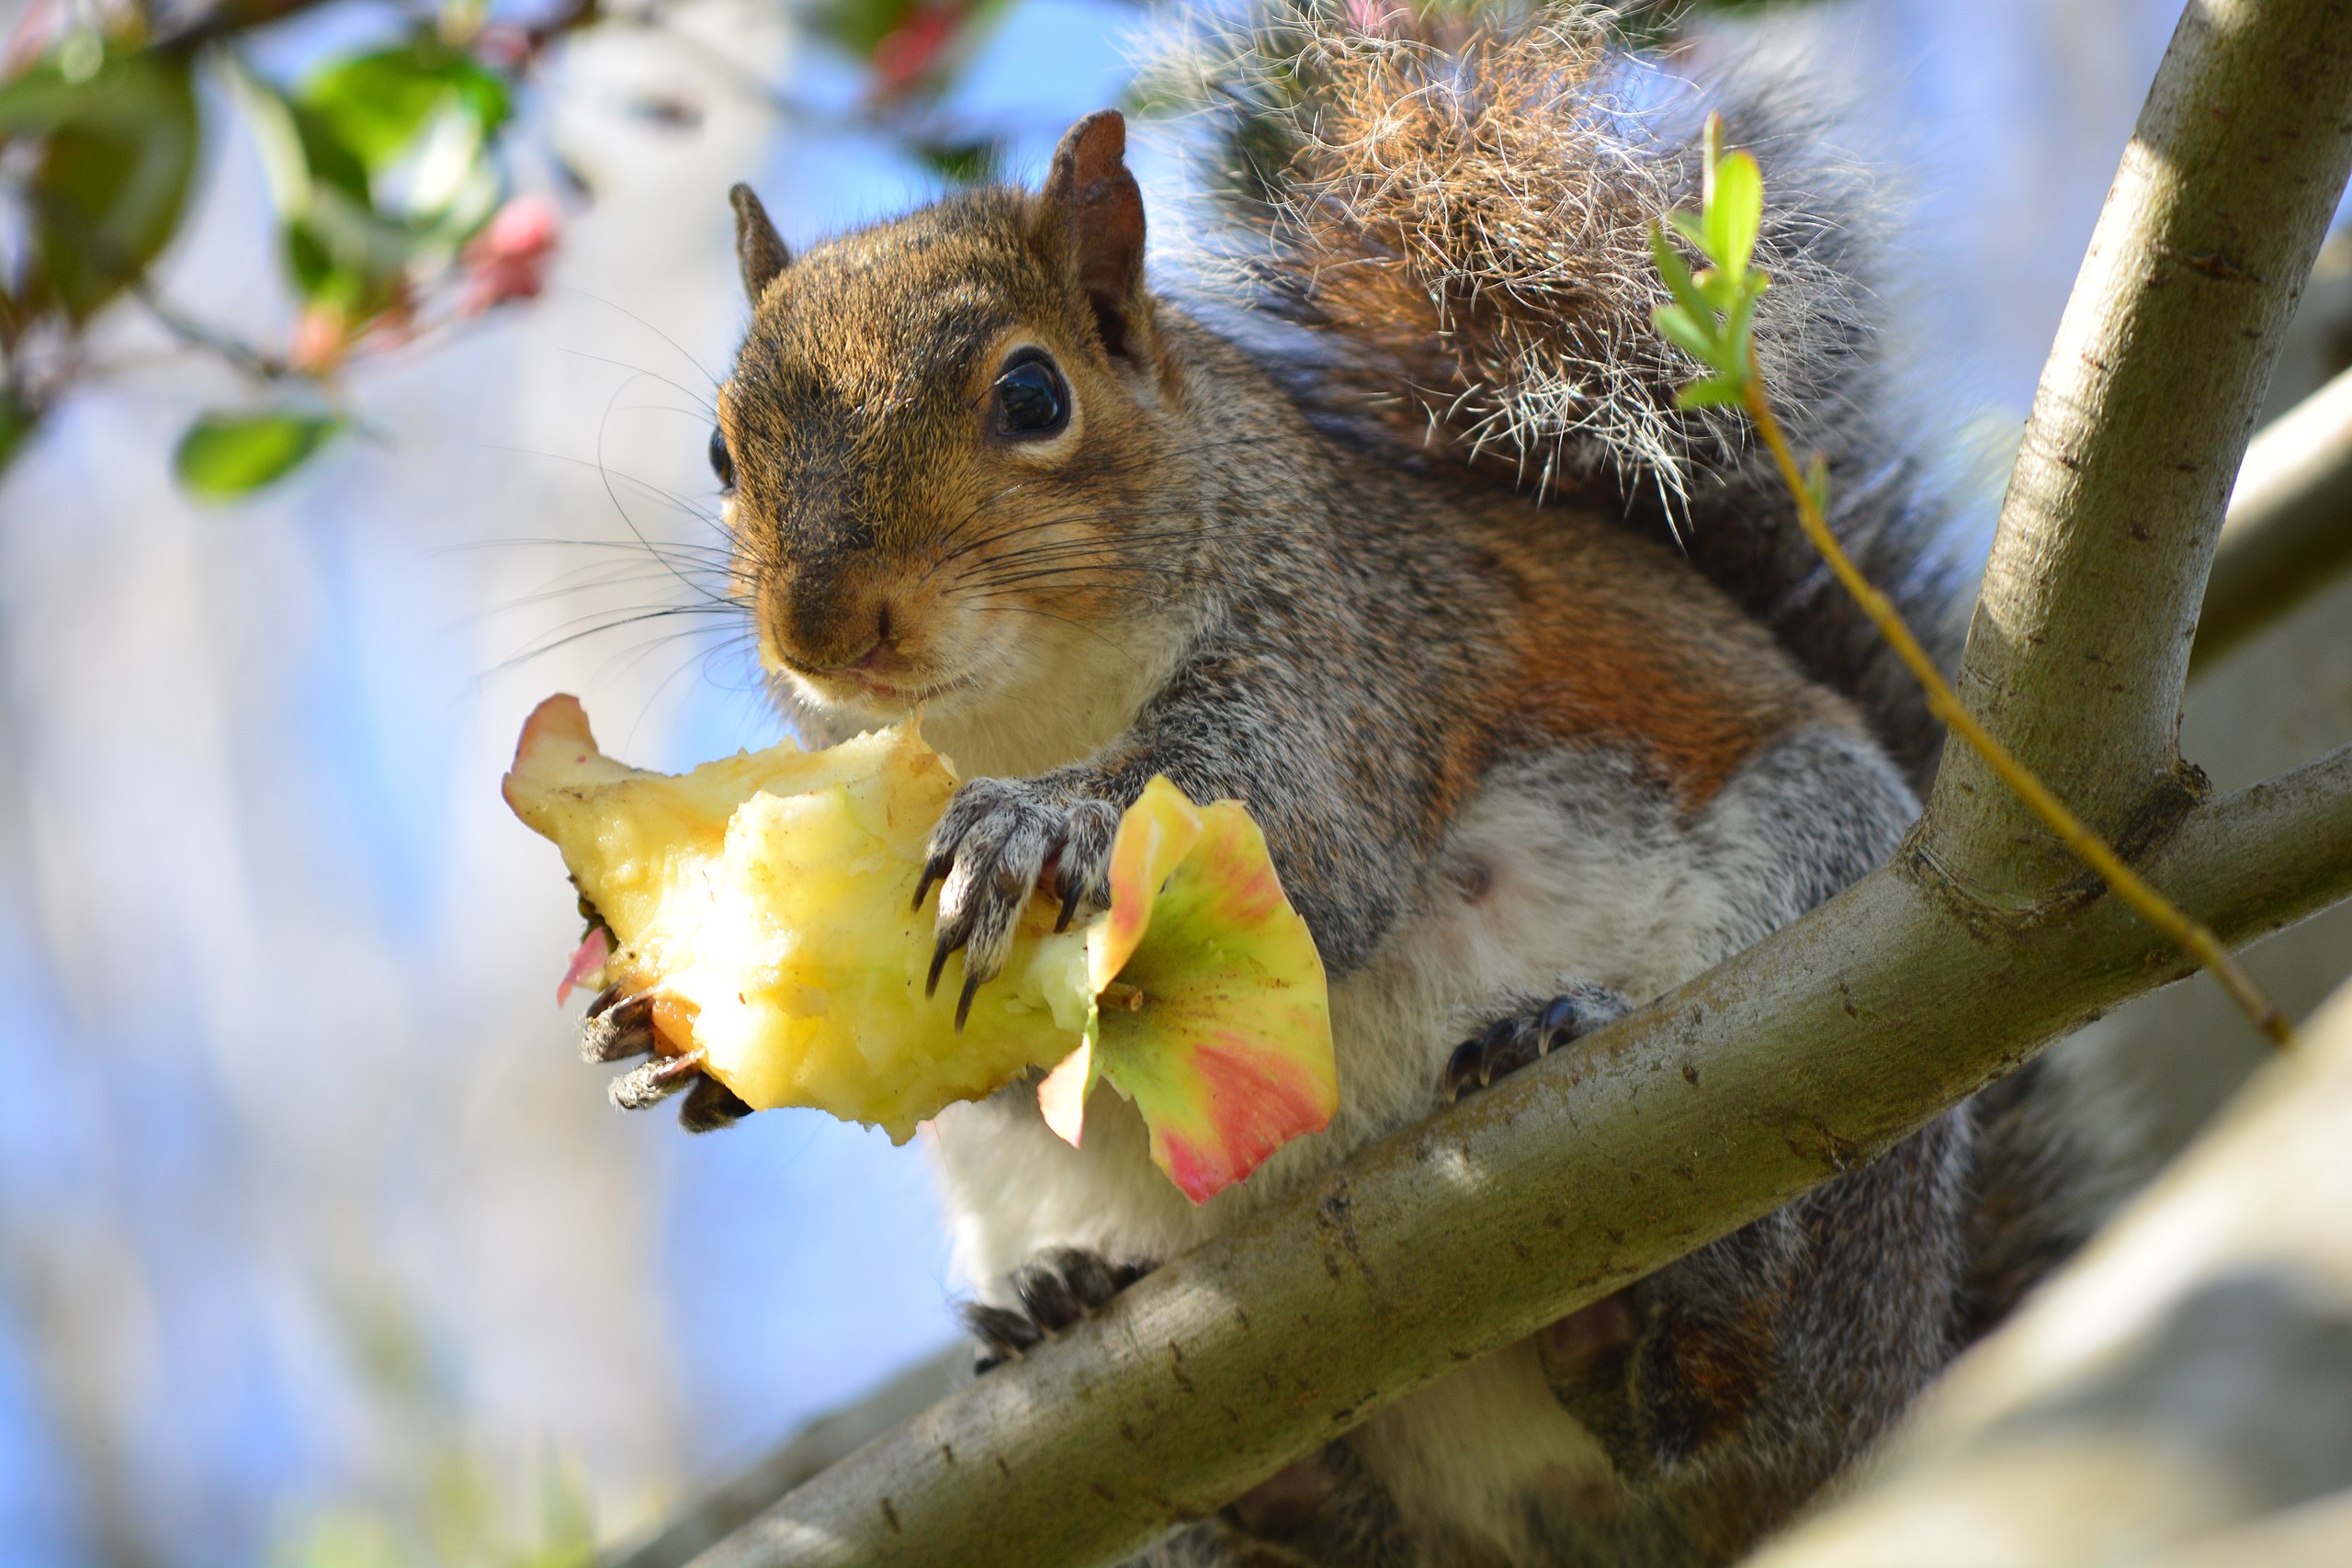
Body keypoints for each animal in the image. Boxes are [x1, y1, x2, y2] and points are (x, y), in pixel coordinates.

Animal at [582, 6, 2098, 1561]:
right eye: (722, 448)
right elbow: (963, 1066)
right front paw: (675, 1031)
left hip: (1829, 925)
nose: (824, 627)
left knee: (1744, 1389)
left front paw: (1038, 824)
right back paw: (1161, 1382)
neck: (1019, 708)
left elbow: (1305, 848)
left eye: (1032, 394)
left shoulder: (1344, 652)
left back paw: (1630, 1227)